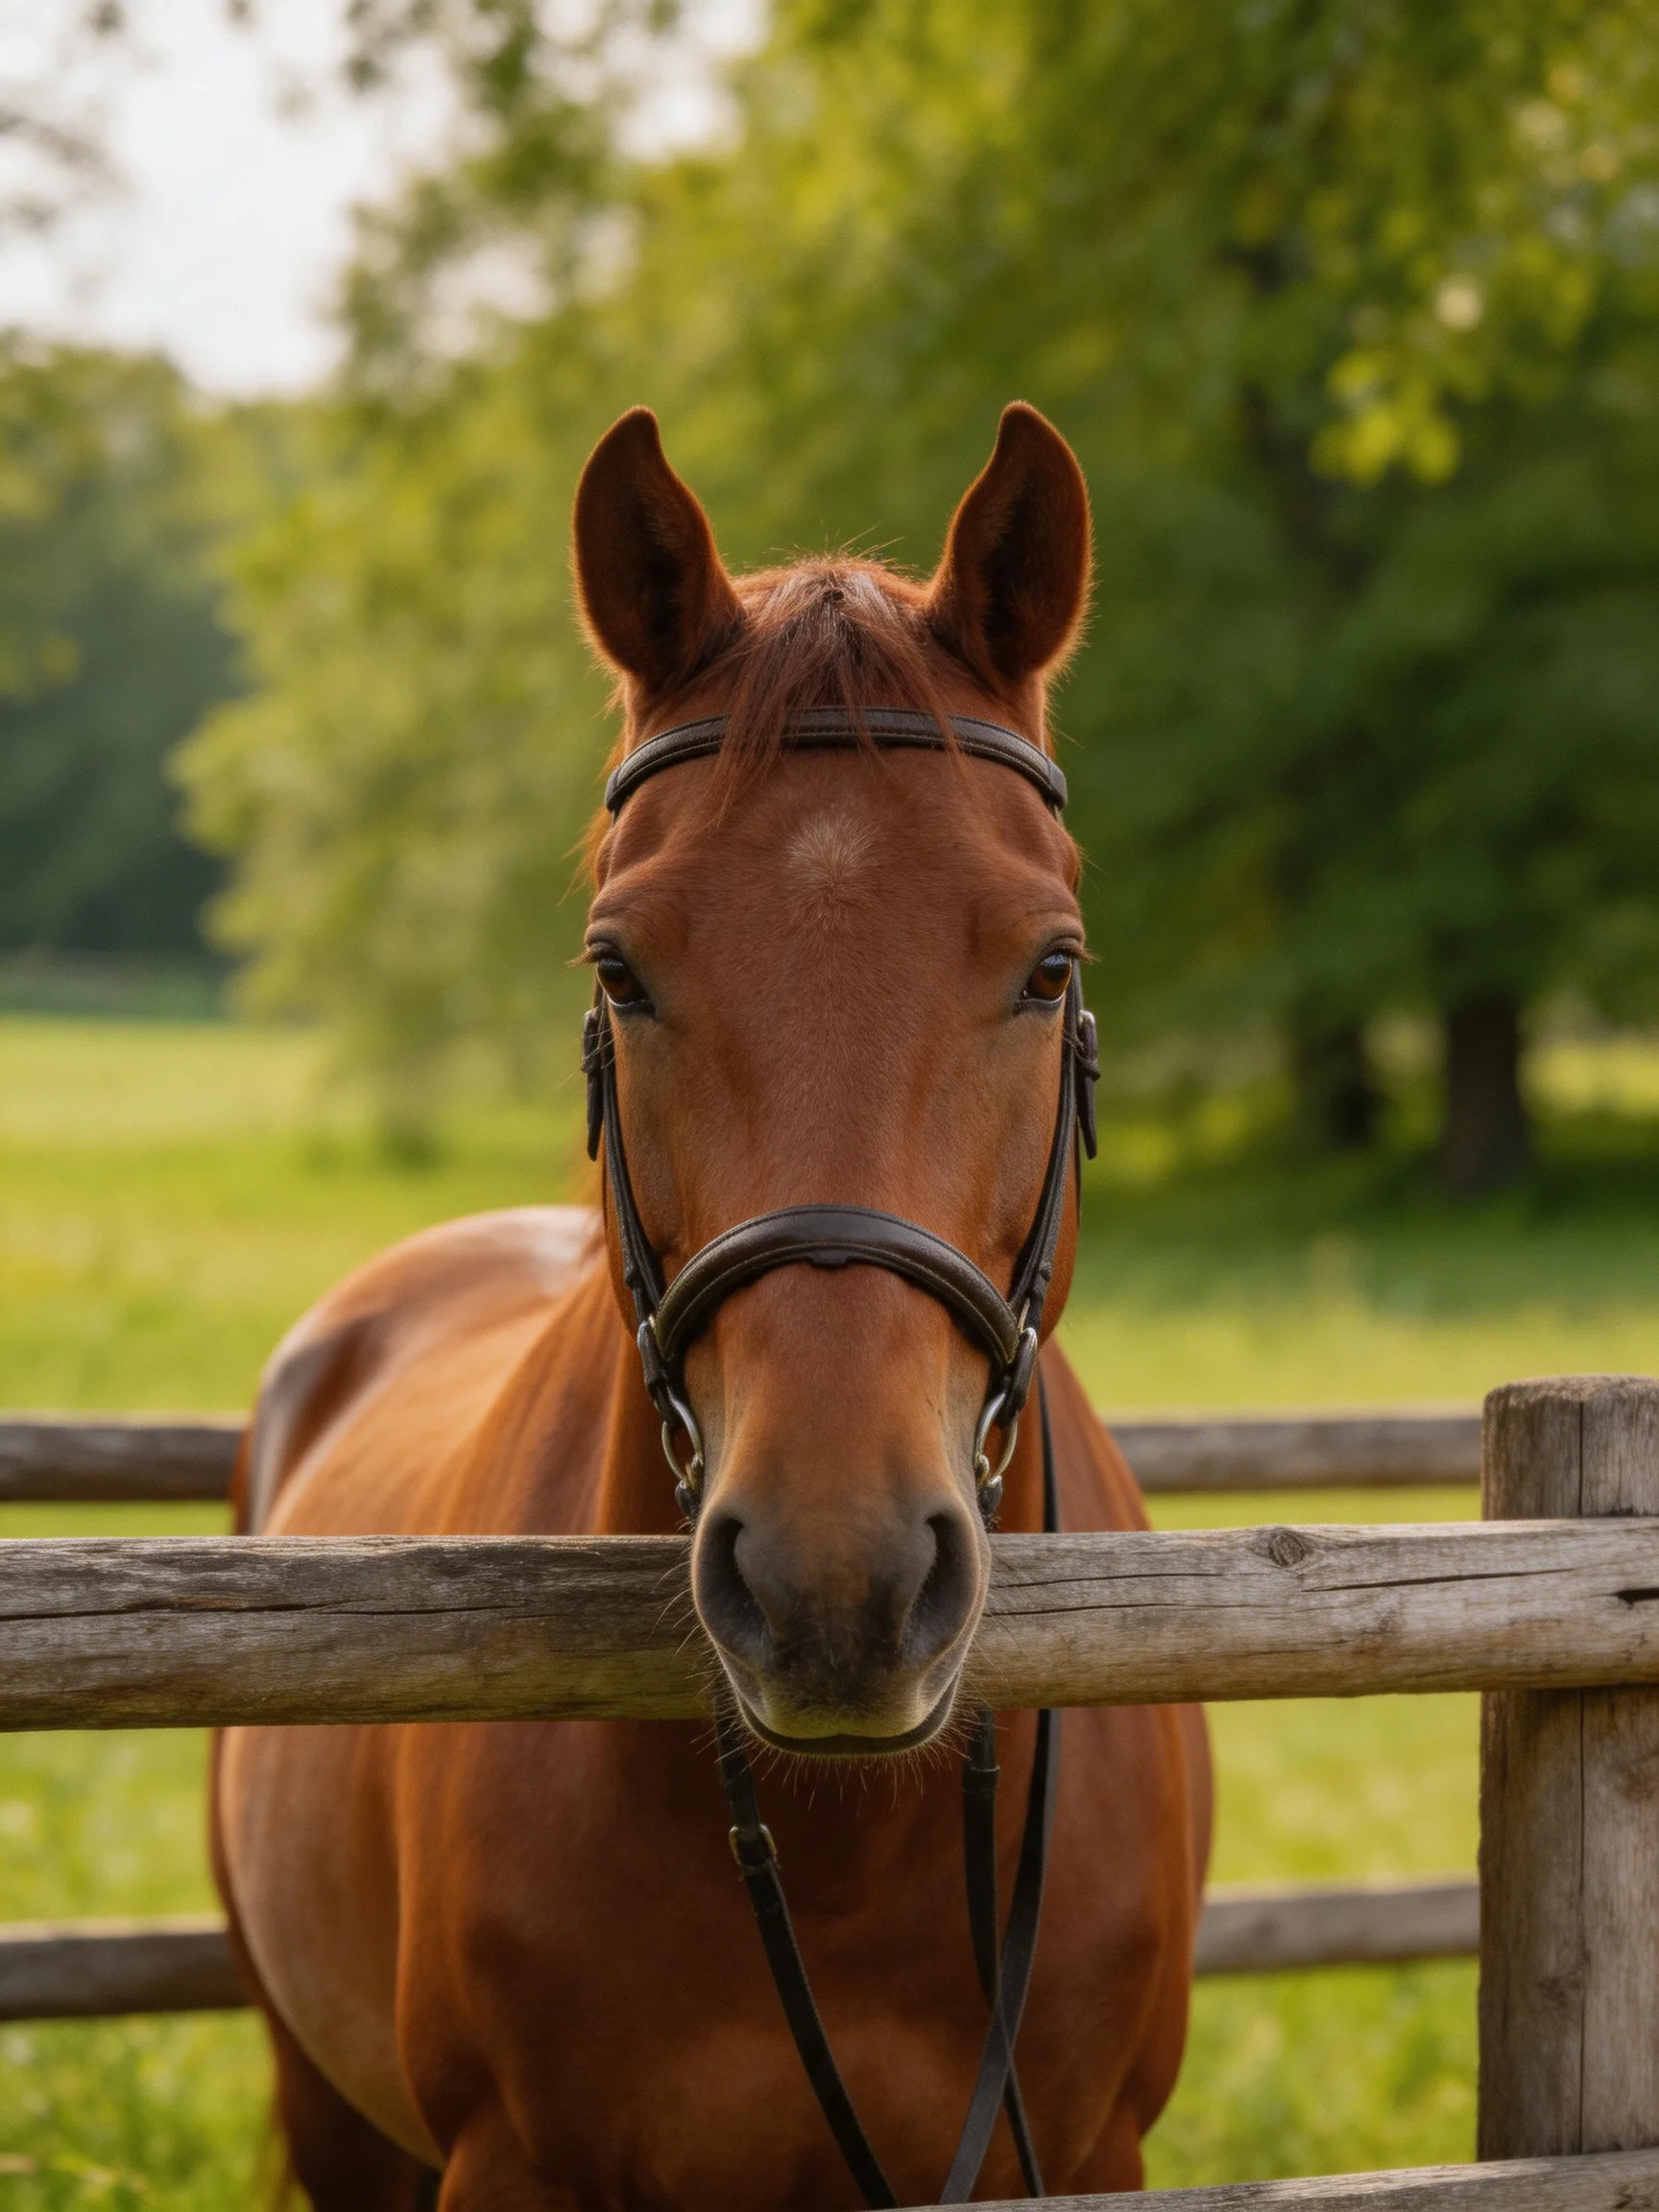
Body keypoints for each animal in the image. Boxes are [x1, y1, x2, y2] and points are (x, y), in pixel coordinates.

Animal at [212, 400, 1212, 2212]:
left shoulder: (1090, 2146)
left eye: (1051, 966)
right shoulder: (503, 2166)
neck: (846, 1845)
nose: (839, 1582)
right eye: (619, 967)